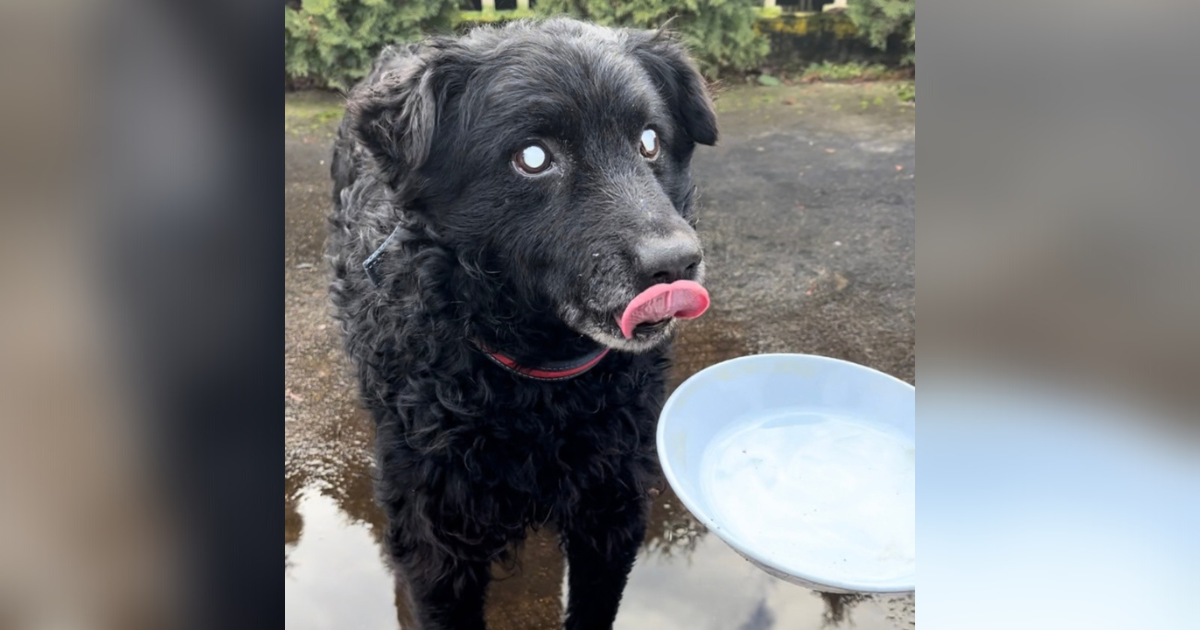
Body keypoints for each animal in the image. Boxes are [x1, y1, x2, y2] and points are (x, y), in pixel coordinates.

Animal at [326, 18, 710, 628]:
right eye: (533, 157)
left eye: (650, 142)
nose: (675, 264)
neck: (538, 387)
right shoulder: (435, 540)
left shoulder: (611, 511)